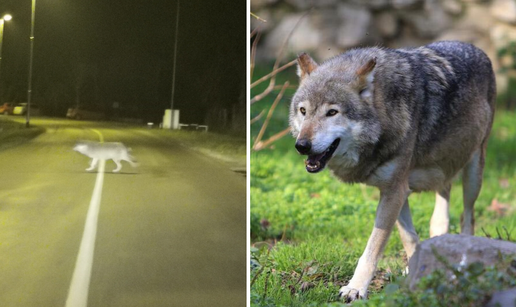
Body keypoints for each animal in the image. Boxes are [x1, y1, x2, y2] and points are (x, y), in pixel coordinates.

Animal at [290, 40, 496, 300]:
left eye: (332, 112)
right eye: (303, 111)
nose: (302, 146)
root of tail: (473, 46)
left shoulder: (395, 192)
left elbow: (373, 247)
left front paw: (356, 288)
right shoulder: (396, 191)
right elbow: (409, 237)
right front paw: (417, 268)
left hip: (474, 175)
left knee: (467, 217)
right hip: (444, 170)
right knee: (442, 208)